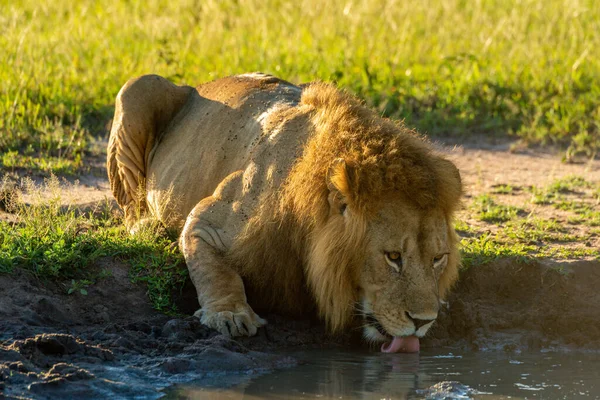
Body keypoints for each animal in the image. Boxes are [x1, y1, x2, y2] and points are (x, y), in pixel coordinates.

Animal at [108, 72, 462, 354]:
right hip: (137, 88)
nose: (424, 321)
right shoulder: (208, 221)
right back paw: (147, 226)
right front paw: (230, 315)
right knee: (130, 204)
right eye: (393, 257)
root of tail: (200, 84)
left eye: (437, 259)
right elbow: (214, 270)